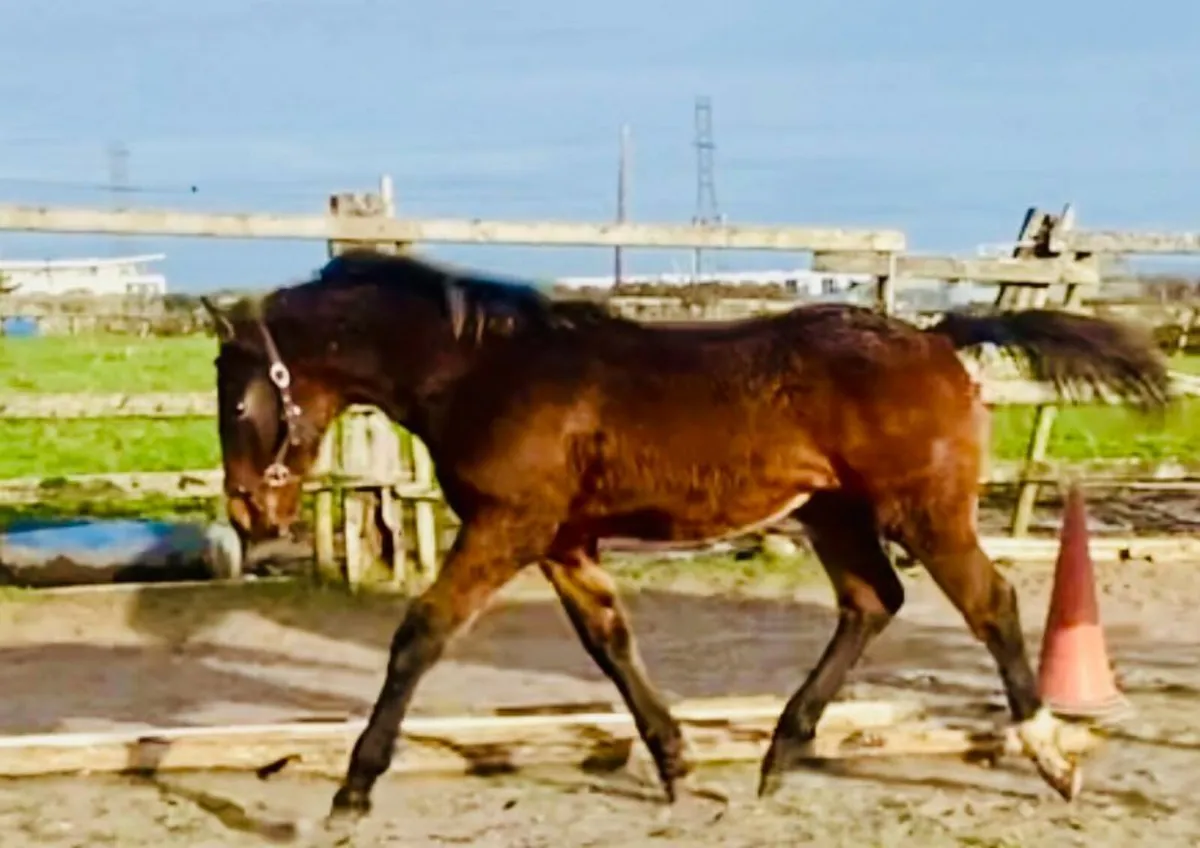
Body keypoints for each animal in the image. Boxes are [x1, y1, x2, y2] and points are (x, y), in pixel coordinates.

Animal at [200, 248, 1170, 820]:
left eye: (239, 399)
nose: (252, 516)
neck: (488, 370)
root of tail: (939, 337)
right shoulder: (563, 539)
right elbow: (609, 642)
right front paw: (676, 765)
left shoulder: (508, 526)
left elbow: (420, 635)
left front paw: (353, 789)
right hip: (831, 511)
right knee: (872, 601)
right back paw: (781, 752)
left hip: (922, 510)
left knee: (990, 603)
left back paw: (1052, 758)